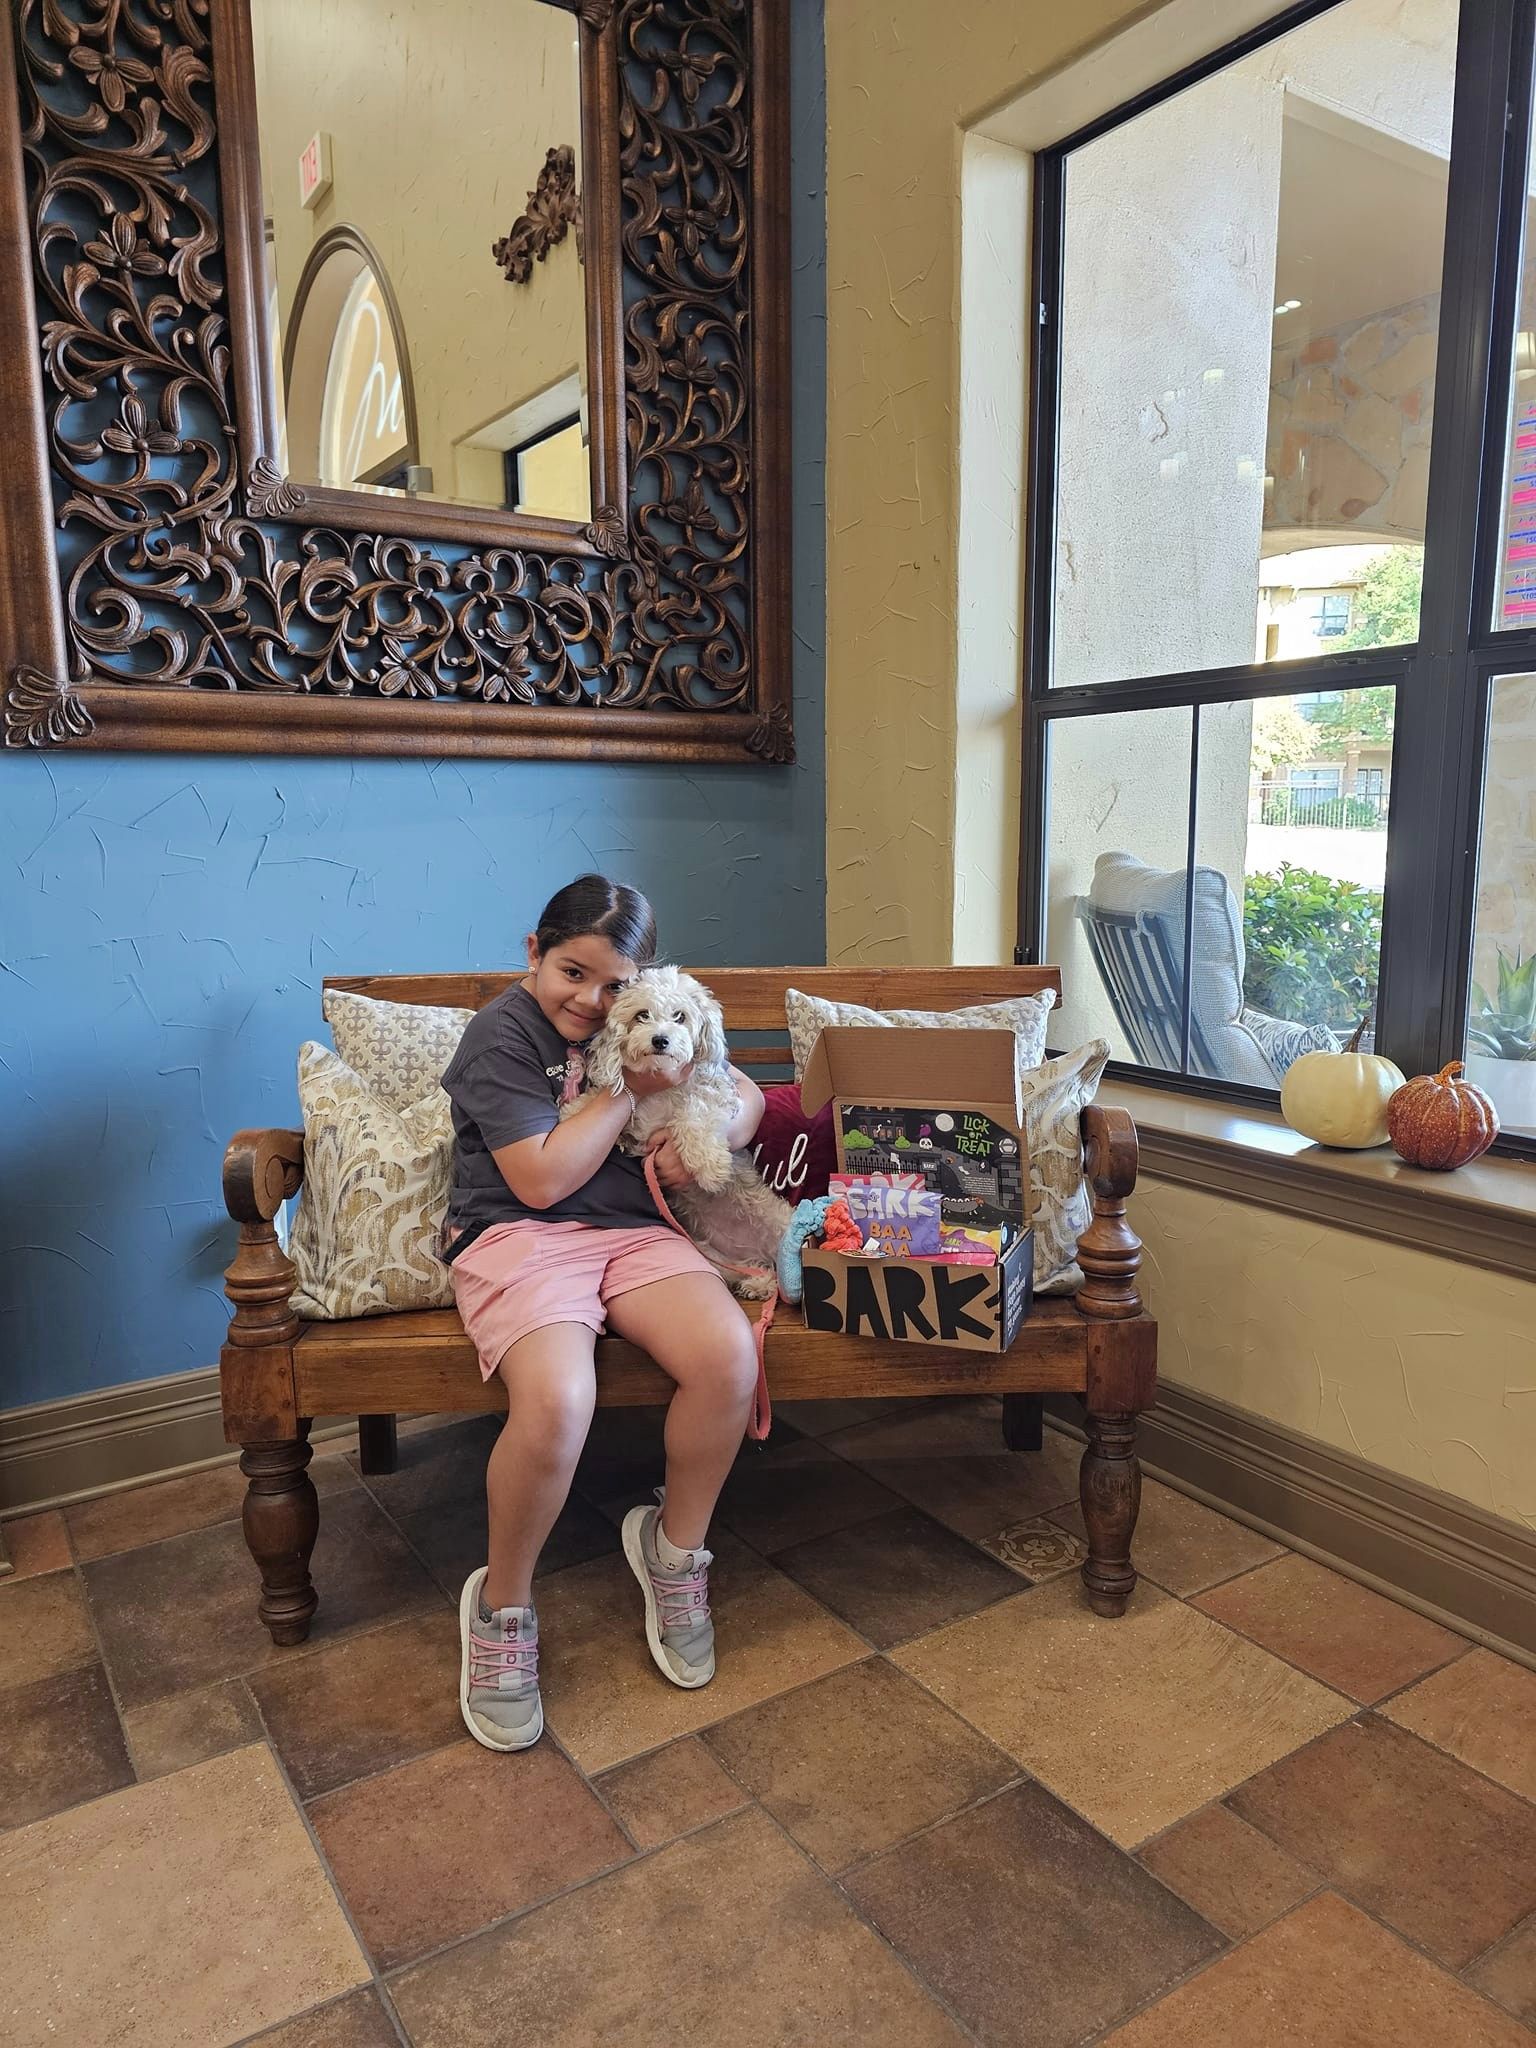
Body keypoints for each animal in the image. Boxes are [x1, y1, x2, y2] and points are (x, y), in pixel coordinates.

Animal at [577, 962, 794, 1294]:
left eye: (680, 1016)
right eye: (642, 1015)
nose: (660, 1040)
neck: (662, 1089)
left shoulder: (717, 1096)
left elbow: (693, 1116)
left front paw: (710, 1167)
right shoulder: (637, 1124)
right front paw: (570, 1110)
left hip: (782, 1224)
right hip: (709, 1253)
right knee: (758, 1270)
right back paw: (758, 1283)